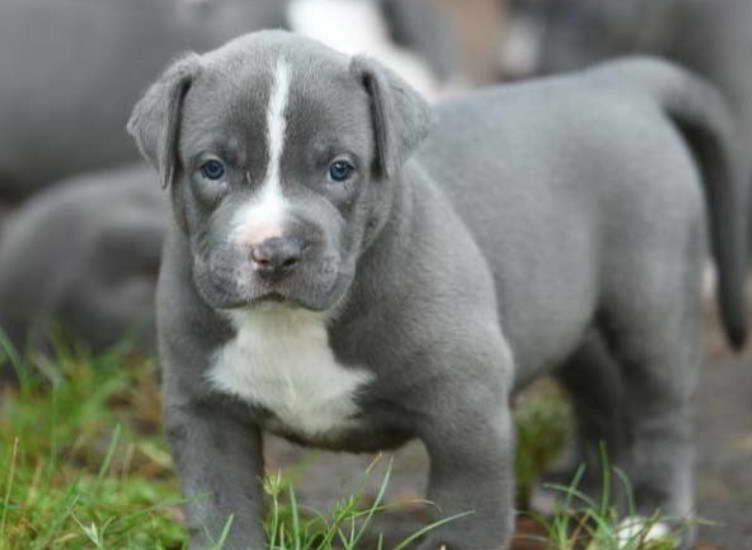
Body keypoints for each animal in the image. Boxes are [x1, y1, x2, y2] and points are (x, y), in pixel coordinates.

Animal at [129, 31, 748, 550]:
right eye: (212, 168)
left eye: (340, 169)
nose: (276, 251)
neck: (294, 321)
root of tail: (618, 81)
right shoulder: (206, 412)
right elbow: (221, 514)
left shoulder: (467, 419)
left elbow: (468, 521)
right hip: (570, 311)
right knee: (599, 389)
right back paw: (583, 488)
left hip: (650, 300)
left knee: (661, 410)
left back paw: (654, 519)